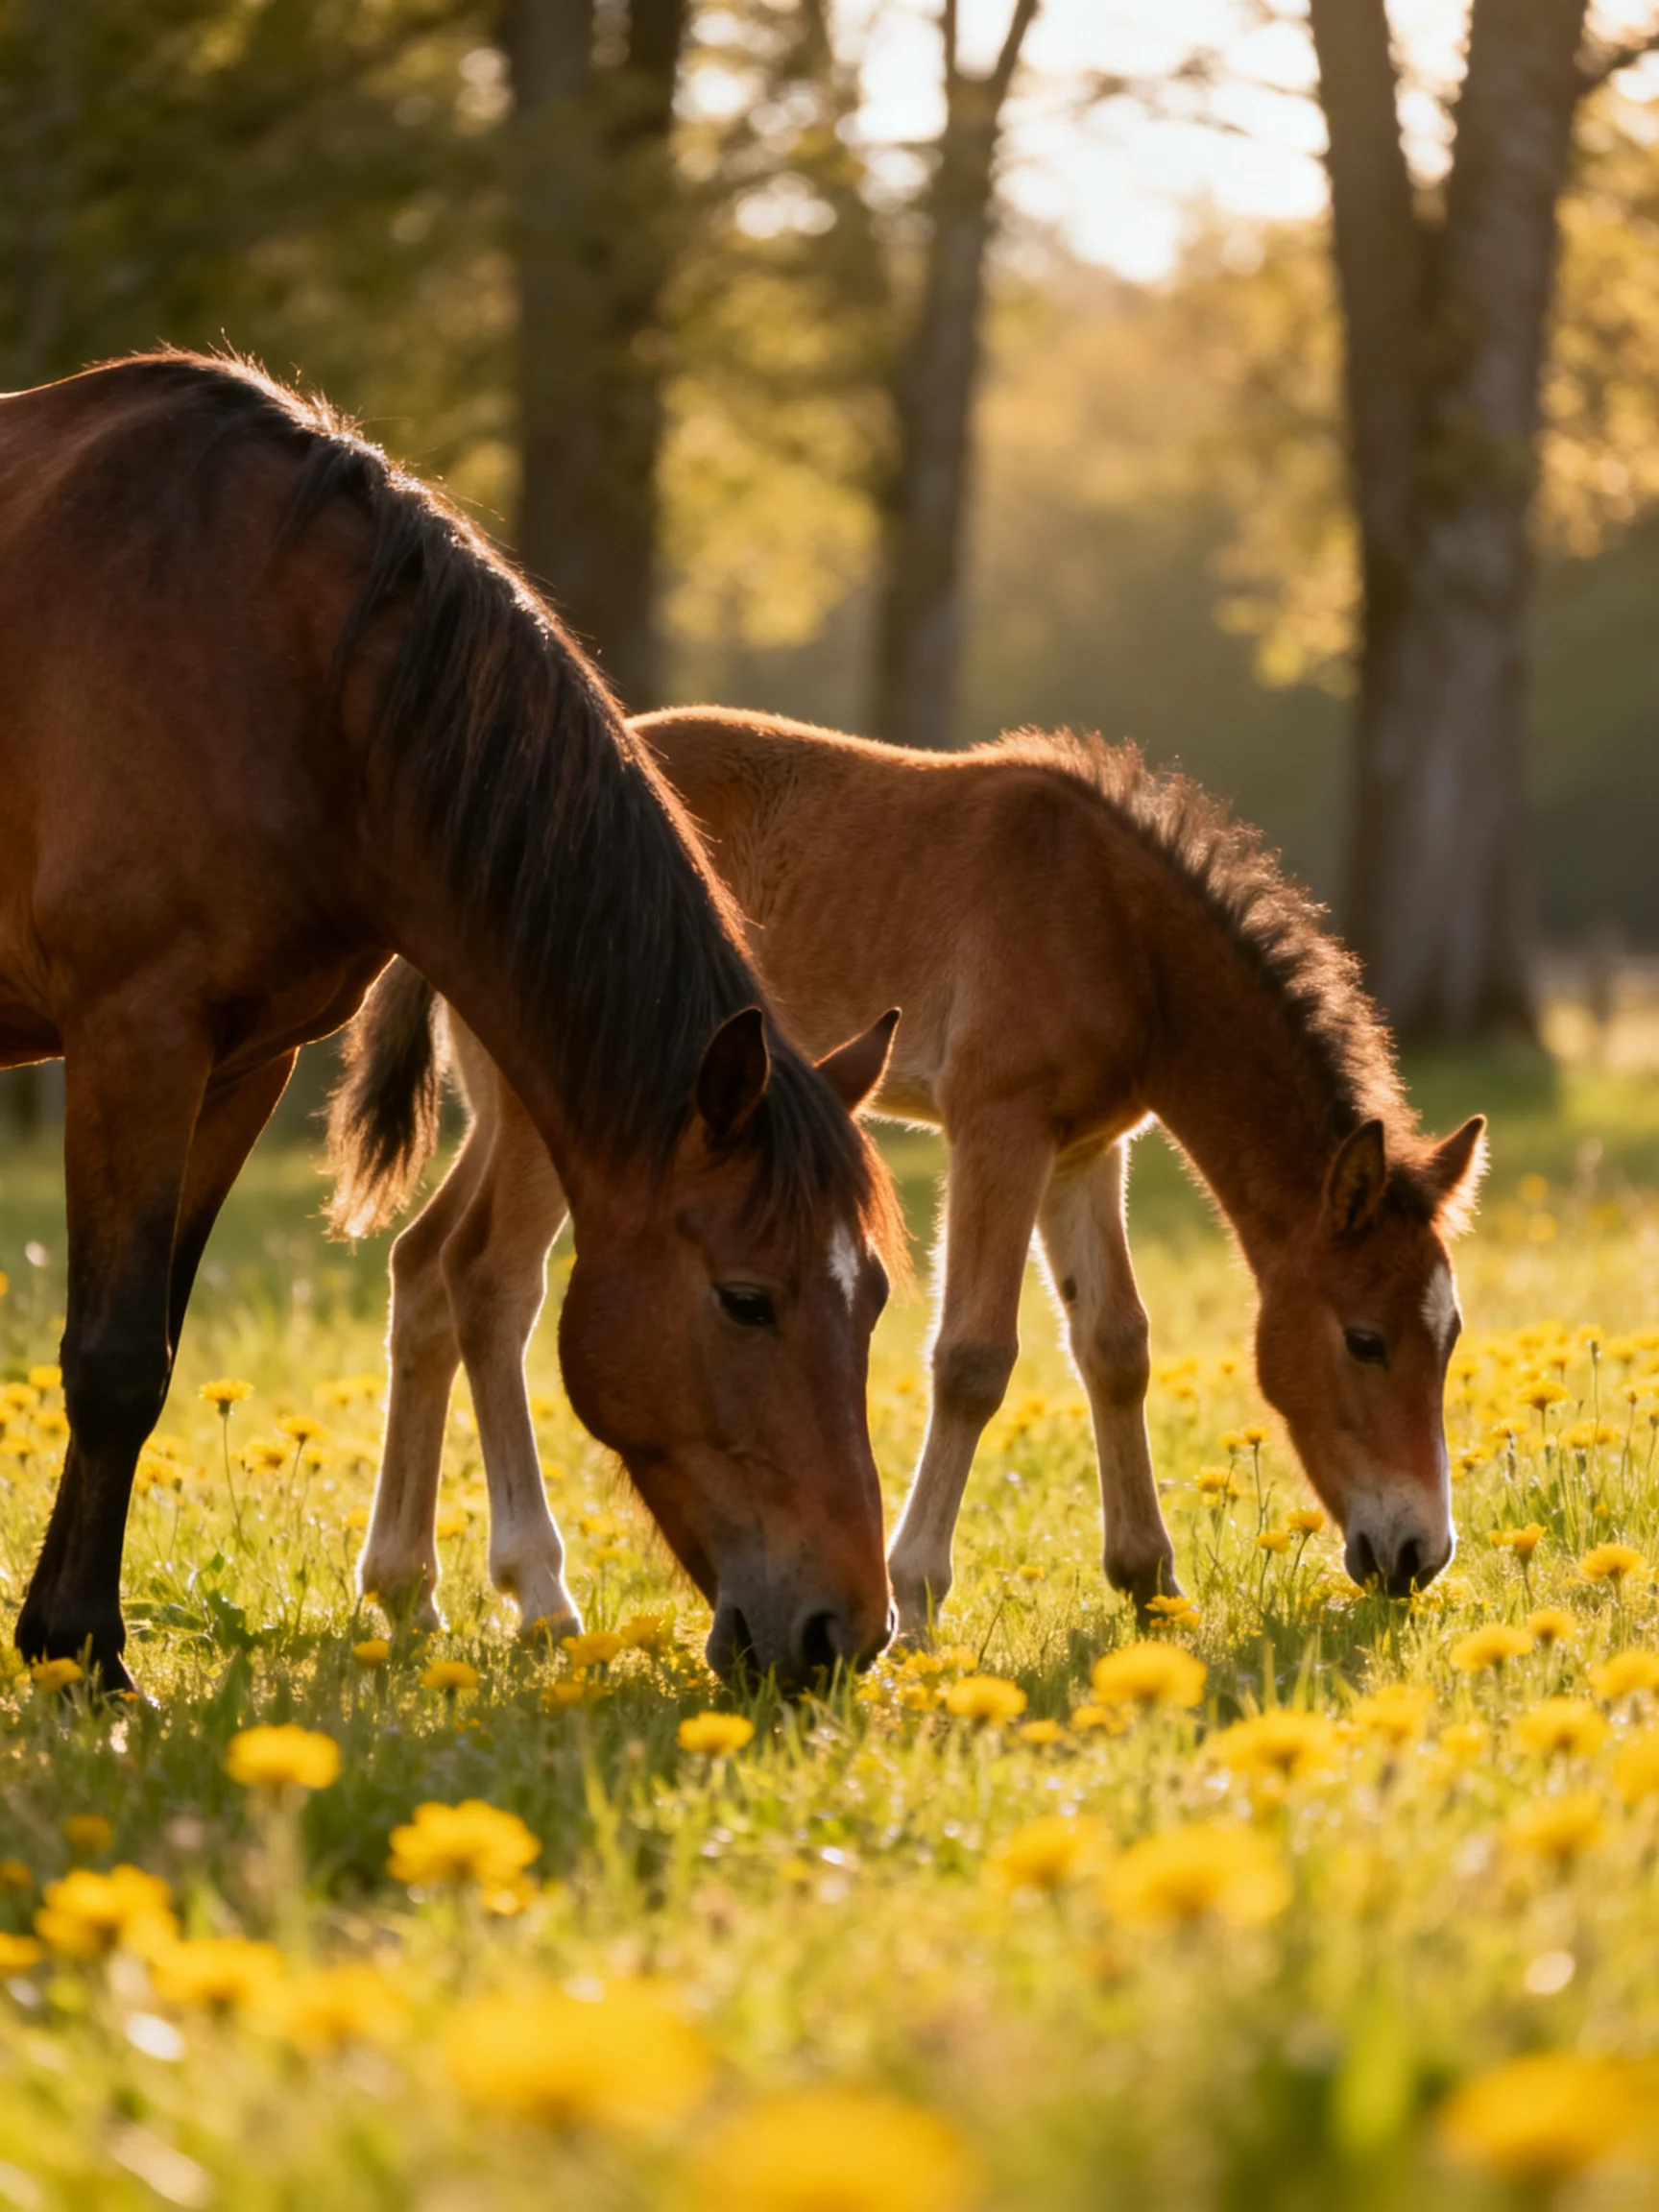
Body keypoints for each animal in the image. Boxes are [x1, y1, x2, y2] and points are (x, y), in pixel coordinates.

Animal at [0, 358, 903, 1693]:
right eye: (747, 1299)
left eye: (876, 1297)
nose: (847, 1634)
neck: (277, 661)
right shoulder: (136, 1037)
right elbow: (113, 1361)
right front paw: (84, 1657)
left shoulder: (241, 1063)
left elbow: (152, 1342)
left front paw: (66, 1638)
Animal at [332, 708, 1487, 1641]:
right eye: (1365, 1339)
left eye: (1450, 1335)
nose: (1417, 1556)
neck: (1114, 924)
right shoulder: (996, 1123)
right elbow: (974, 1357)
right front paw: (919, 1597)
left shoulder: (1086, 1149)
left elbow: (1114, 1346)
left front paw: (1149, 1583)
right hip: (555, 1106)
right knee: (490, 1281)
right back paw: (539, 1593)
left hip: (513, 1116)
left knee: (422, 1266)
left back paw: (405, 1590)